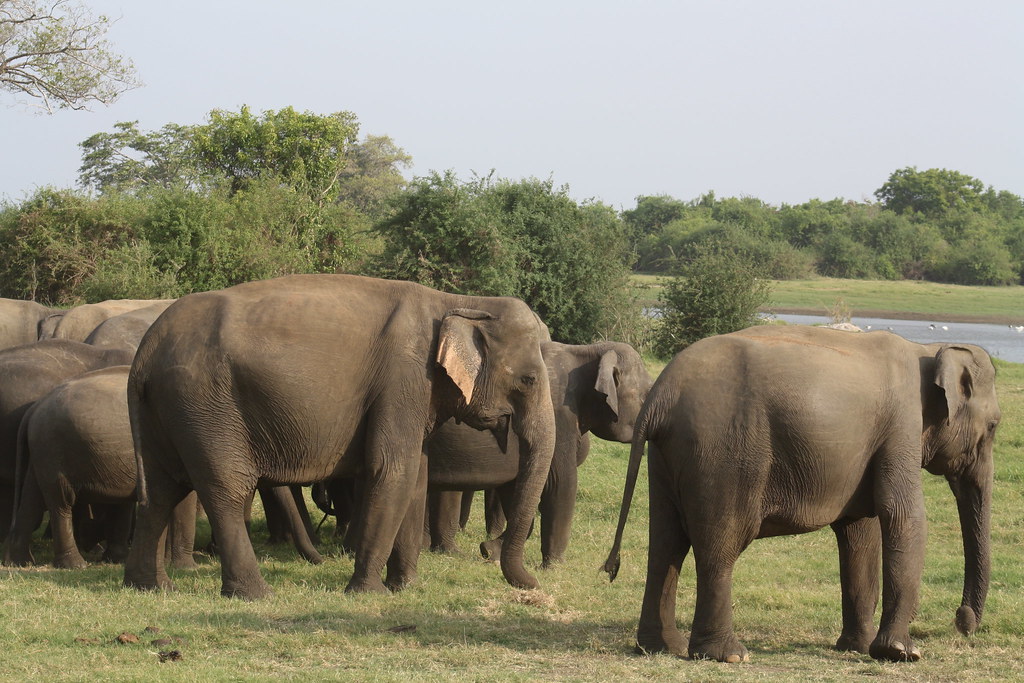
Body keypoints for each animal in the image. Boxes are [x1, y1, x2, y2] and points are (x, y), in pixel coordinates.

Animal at [3, 366, 197, 569]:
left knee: (33, 497)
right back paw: (75, 565)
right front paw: (185, 567)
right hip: (53, 447)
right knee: (61, 501)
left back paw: (18, 561)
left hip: (43, 450)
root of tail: (35, 408)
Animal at [123, 273, 555, 599]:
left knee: (160, 489)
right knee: (225, 488)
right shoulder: (403, 378)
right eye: (529, 380)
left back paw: (150, 587)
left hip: (166, 409)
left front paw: (406, 587)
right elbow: (393, 470)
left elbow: (417, 475)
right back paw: (255, 594)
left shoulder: (416, 391)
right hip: (205, 404)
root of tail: (144, 354)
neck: (458, 300)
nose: (532, 584)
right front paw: (369, 593)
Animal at [427, 340, 652, 567]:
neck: (585, 351)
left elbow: (516, 489)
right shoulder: (558, 417)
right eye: (645, 397)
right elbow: (561, 483)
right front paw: (554, 566)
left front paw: (490, 551)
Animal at [603, 325, 1000, 663]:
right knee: (720, 545)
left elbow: (859, 531)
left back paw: (660, 648)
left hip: (668, 455)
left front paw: (856, 648)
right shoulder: (901, 425)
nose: (963, 621)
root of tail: (661, 394)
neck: (928, 349)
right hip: (723, 452)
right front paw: (902, 653)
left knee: (666, 543)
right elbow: (903, 516)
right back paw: (729, 655)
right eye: (995, 426)